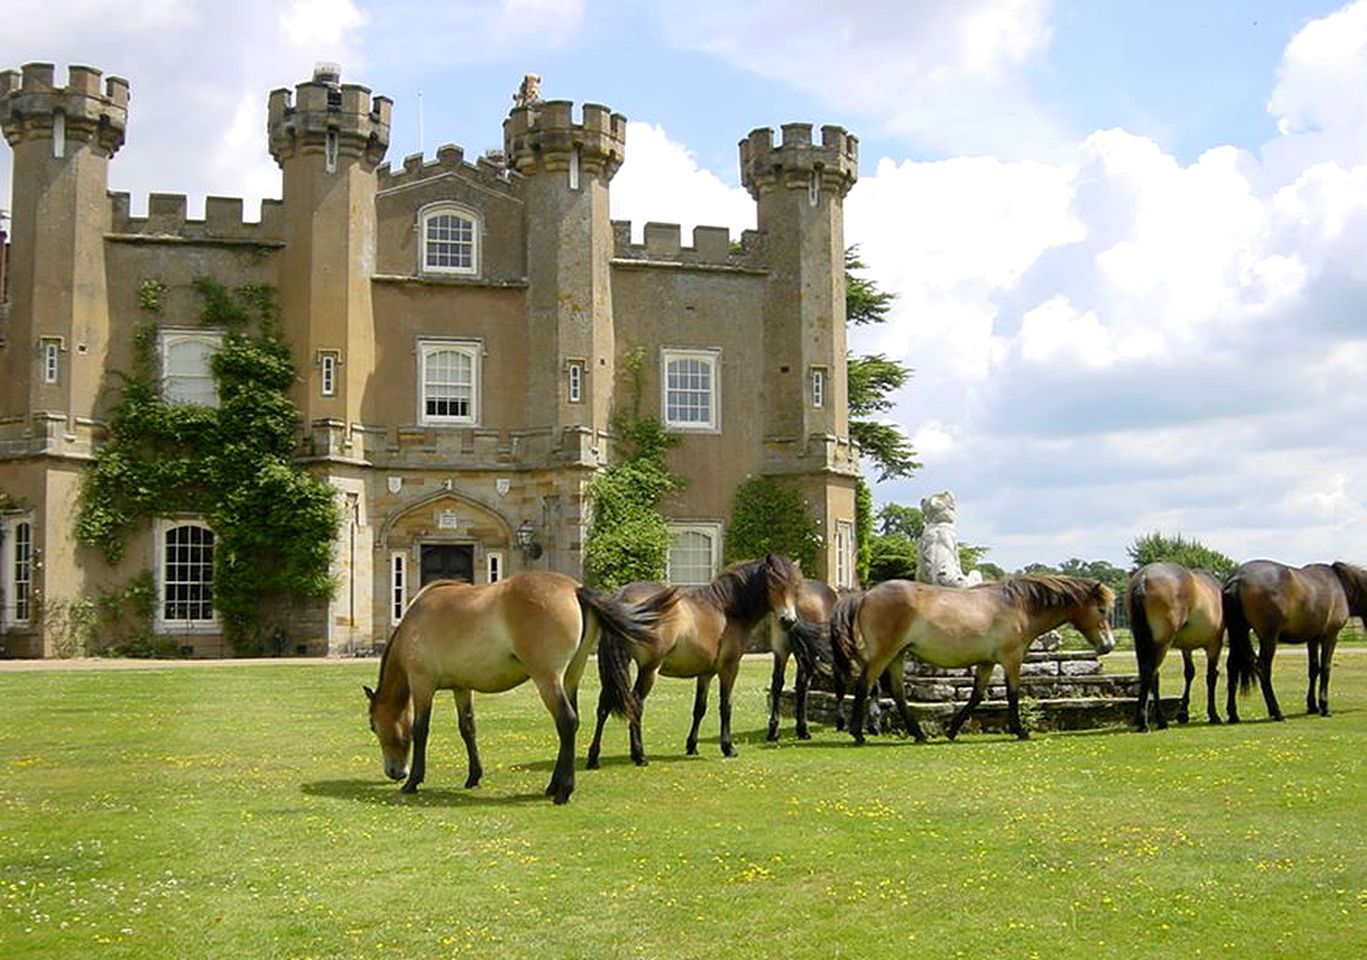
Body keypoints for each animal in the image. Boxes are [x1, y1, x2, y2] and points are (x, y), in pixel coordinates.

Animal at [366, 571, 675, 804]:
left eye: (373, 726)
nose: (395, 771)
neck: (414, 621)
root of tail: (575, 589)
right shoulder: (461, 688)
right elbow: (467, 729)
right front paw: (473, 776)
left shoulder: (423, 684)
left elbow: (420, 730)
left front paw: (413, 781)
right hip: (569, 678)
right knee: (572, 724)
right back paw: (553, 786)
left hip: (547, 679)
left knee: (566, 721)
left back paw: (563, 791)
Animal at [585, 557, 798, 765]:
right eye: (773, 584)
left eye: (794, 586)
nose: (789, 620)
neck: (726, 609)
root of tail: (622, 597)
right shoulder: (729, 668)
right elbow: (725, 706)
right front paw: (728, 747)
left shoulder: (705, 673)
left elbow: (699, 709)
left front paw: (692, 746)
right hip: (649, 669)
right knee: (635, 703)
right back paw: (639, 756)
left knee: (604, 706)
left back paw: (594, 758)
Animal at [831, 579, 1110, 743]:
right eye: (1102, 609)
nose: (1108, 645)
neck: (1018, 605)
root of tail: (866, 594)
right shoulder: (1012, 659)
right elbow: (1012, 694)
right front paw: (1020, 730)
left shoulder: (987, 662)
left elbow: (976, 696)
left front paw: (952, 730)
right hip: (884, 655)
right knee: (864, 686)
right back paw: (858, 734)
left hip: (897, 656)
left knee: (898, 694)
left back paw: (918, 734)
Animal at [1120, 563, 1230, 727]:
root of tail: (1143, 578)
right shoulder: (1214, 645)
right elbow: (1211, 676)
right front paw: (1213, 714)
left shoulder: (1186, 648)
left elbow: (1189, 673)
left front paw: (1183, 713)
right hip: (1161, 644)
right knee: (1151, 673)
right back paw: (1150, 722)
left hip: (1142, 642)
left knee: (1149, 675)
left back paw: (1148, 719)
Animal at [1224, 560, 1361, 727]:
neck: (1340, 584)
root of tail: (1238, 578)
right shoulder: (1330, 636)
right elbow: (1325, 669)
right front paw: (1324, 707)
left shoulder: (1313, 639)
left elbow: (1314, 669)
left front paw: (1312, 706)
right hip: (1268, 638)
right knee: (1263, 668)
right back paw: (1277, 713)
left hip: (1238, 634)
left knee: (1232, 667)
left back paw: (1233, 715)